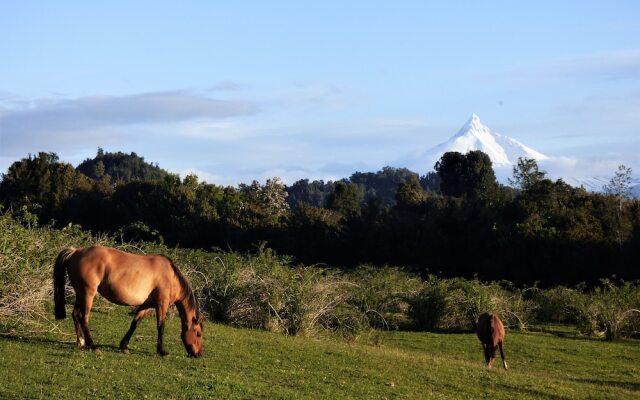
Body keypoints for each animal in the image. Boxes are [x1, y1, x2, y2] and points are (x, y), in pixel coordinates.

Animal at [56, 245, 205, 358]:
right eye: (198, 333)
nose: (198, 354)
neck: (170, 276)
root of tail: (76, 251)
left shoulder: (146, 306)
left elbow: (135, 324)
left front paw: (124, 346)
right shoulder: (162, 305)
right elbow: (161, 326)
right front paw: (162, 351)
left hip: (80, 294)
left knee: (76, 315)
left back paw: (80, 342)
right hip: (88, 294)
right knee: (84, 318)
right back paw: (92, 345)